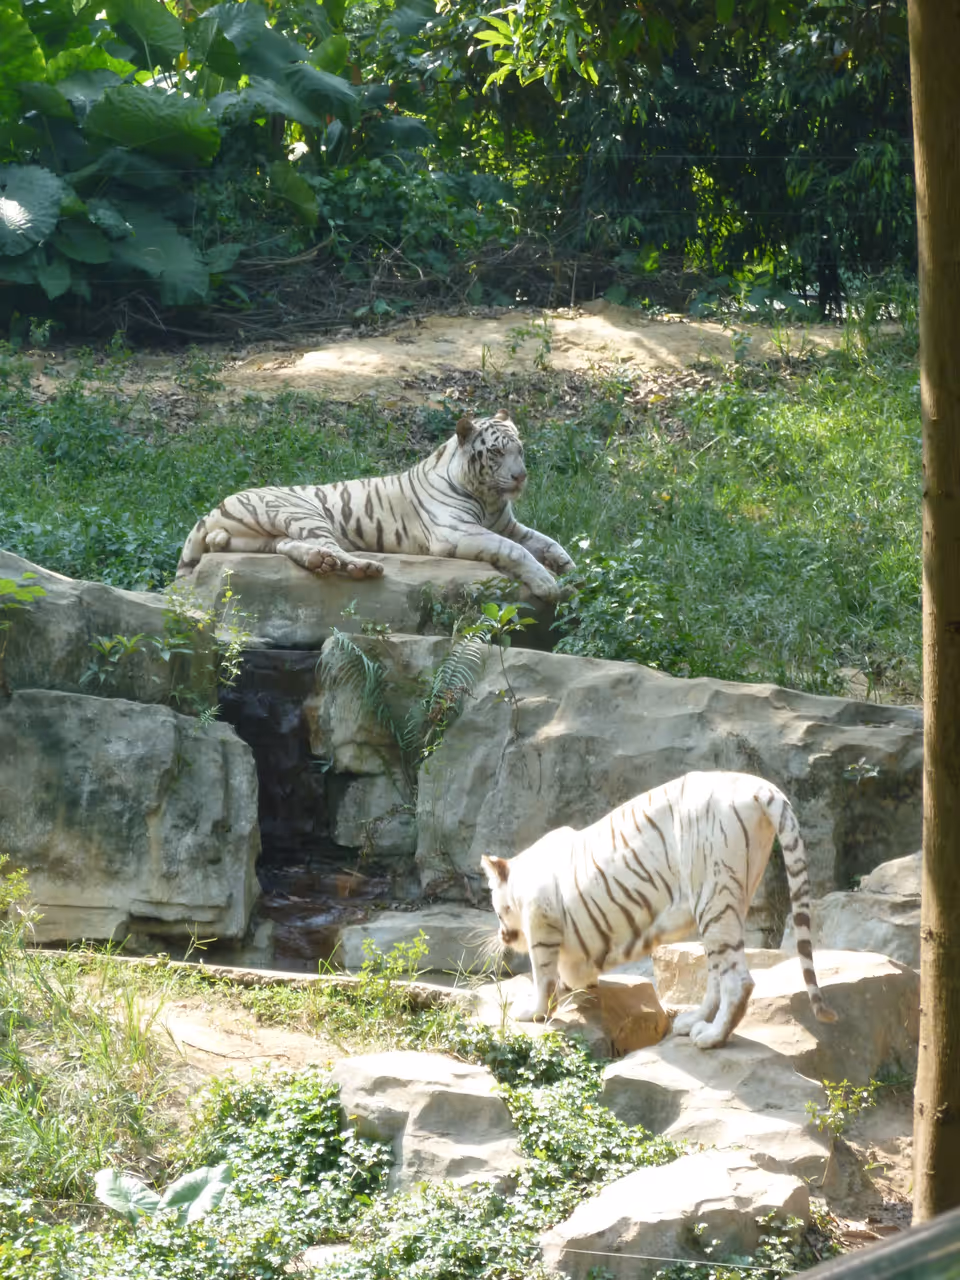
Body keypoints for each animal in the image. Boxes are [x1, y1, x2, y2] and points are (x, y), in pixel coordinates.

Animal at [176, 410, 575, 600]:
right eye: (495, 453)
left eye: (519, 450)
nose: (521, 477)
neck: (489, 497)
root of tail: (212, 509)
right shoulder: (457, 532)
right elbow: (515, 550)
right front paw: (548, 584)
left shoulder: (506, 524)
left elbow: (545, 541)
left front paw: (569, 567)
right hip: (302, 510)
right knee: (332, 547)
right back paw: (362, 567)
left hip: (270, 536)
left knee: (293, 546)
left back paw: (320, 562)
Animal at [481, 770, 838, 1049]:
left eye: (497, 909)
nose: (503, 935)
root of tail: (761, 786)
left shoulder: (542, 923)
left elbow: (543, 975)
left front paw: (532, 1012)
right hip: (730, 899)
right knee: (717, 973)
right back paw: (691, 1021)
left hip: (713, 895)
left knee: (738, 980)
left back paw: (711, 1037)